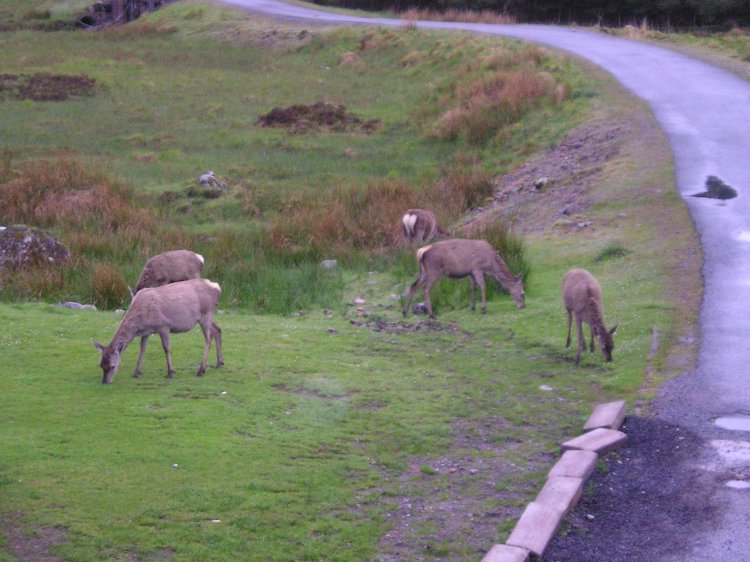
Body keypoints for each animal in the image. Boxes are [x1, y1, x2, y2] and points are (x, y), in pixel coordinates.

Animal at [93, 278, 223, 384]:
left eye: (112, 366)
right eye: (101, 365)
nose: (105, 381)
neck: (141, 320)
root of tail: (217, 287)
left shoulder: (164, 326)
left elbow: (166, 348)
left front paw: (170, 372)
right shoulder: (146, 332)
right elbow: (142, 349)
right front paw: (137, 372)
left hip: (206, 313)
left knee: (208, 339)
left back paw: (201, 370)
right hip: (207, 316)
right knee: (217, 330)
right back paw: (219, 363)